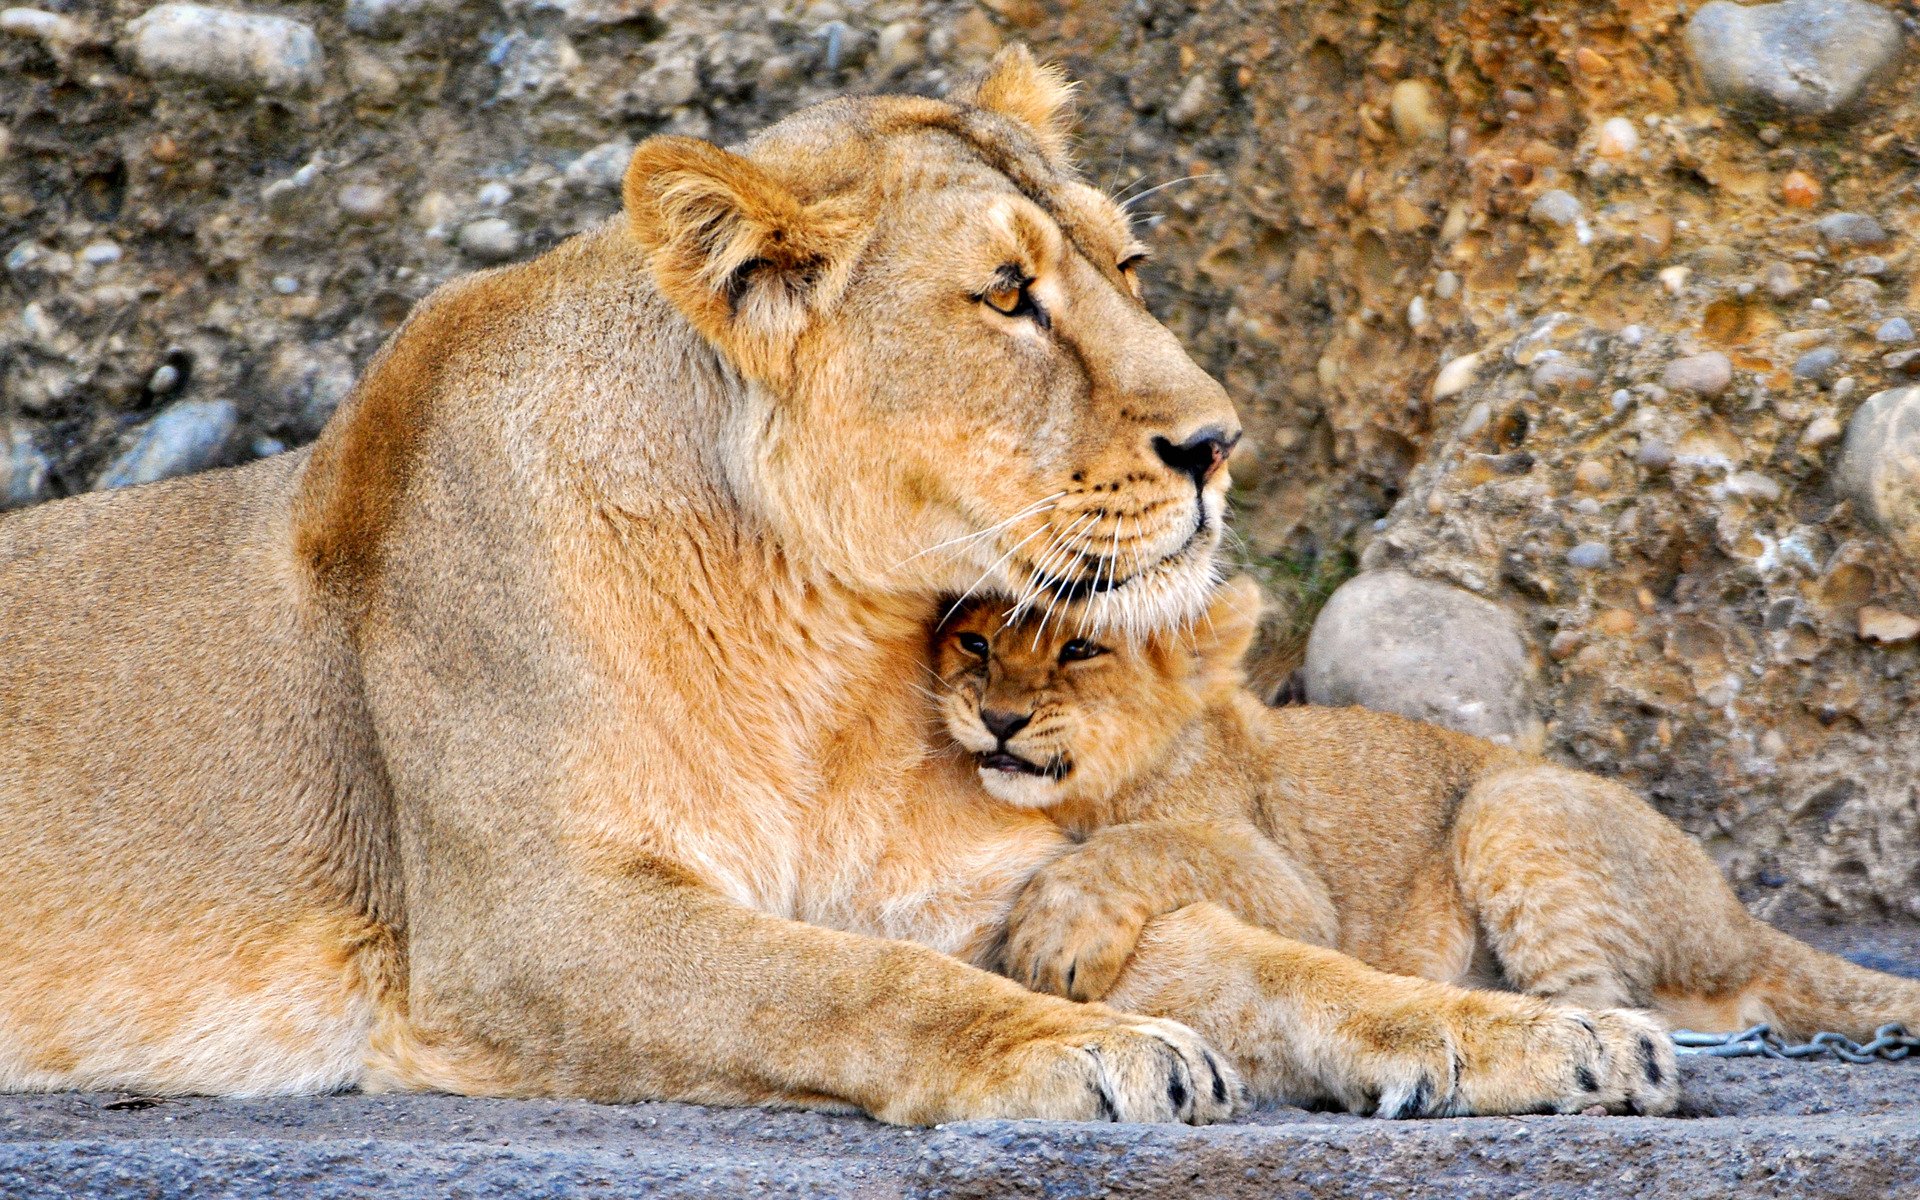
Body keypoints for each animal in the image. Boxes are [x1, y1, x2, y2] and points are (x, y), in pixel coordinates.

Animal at [1, 48, 1668, 1123]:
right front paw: (1076, 1053)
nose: (1219, 443)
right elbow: (838, 985)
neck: (825, 646)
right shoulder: (528, 926)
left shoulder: (987, 892)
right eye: (1008, 296)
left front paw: (1546, 1032)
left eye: (1128, 266)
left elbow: (1276, 962)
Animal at [932, 576, 1920, 1072]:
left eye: (1079, 648)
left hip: (1510, 804)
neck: (1077, 797)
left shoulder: (1295, 893)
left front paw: (1059, 931)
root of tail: (1739, 919)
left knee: (1624, 1005)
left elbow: (1150, 843)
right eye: (973, 641)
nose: (1000, 720)